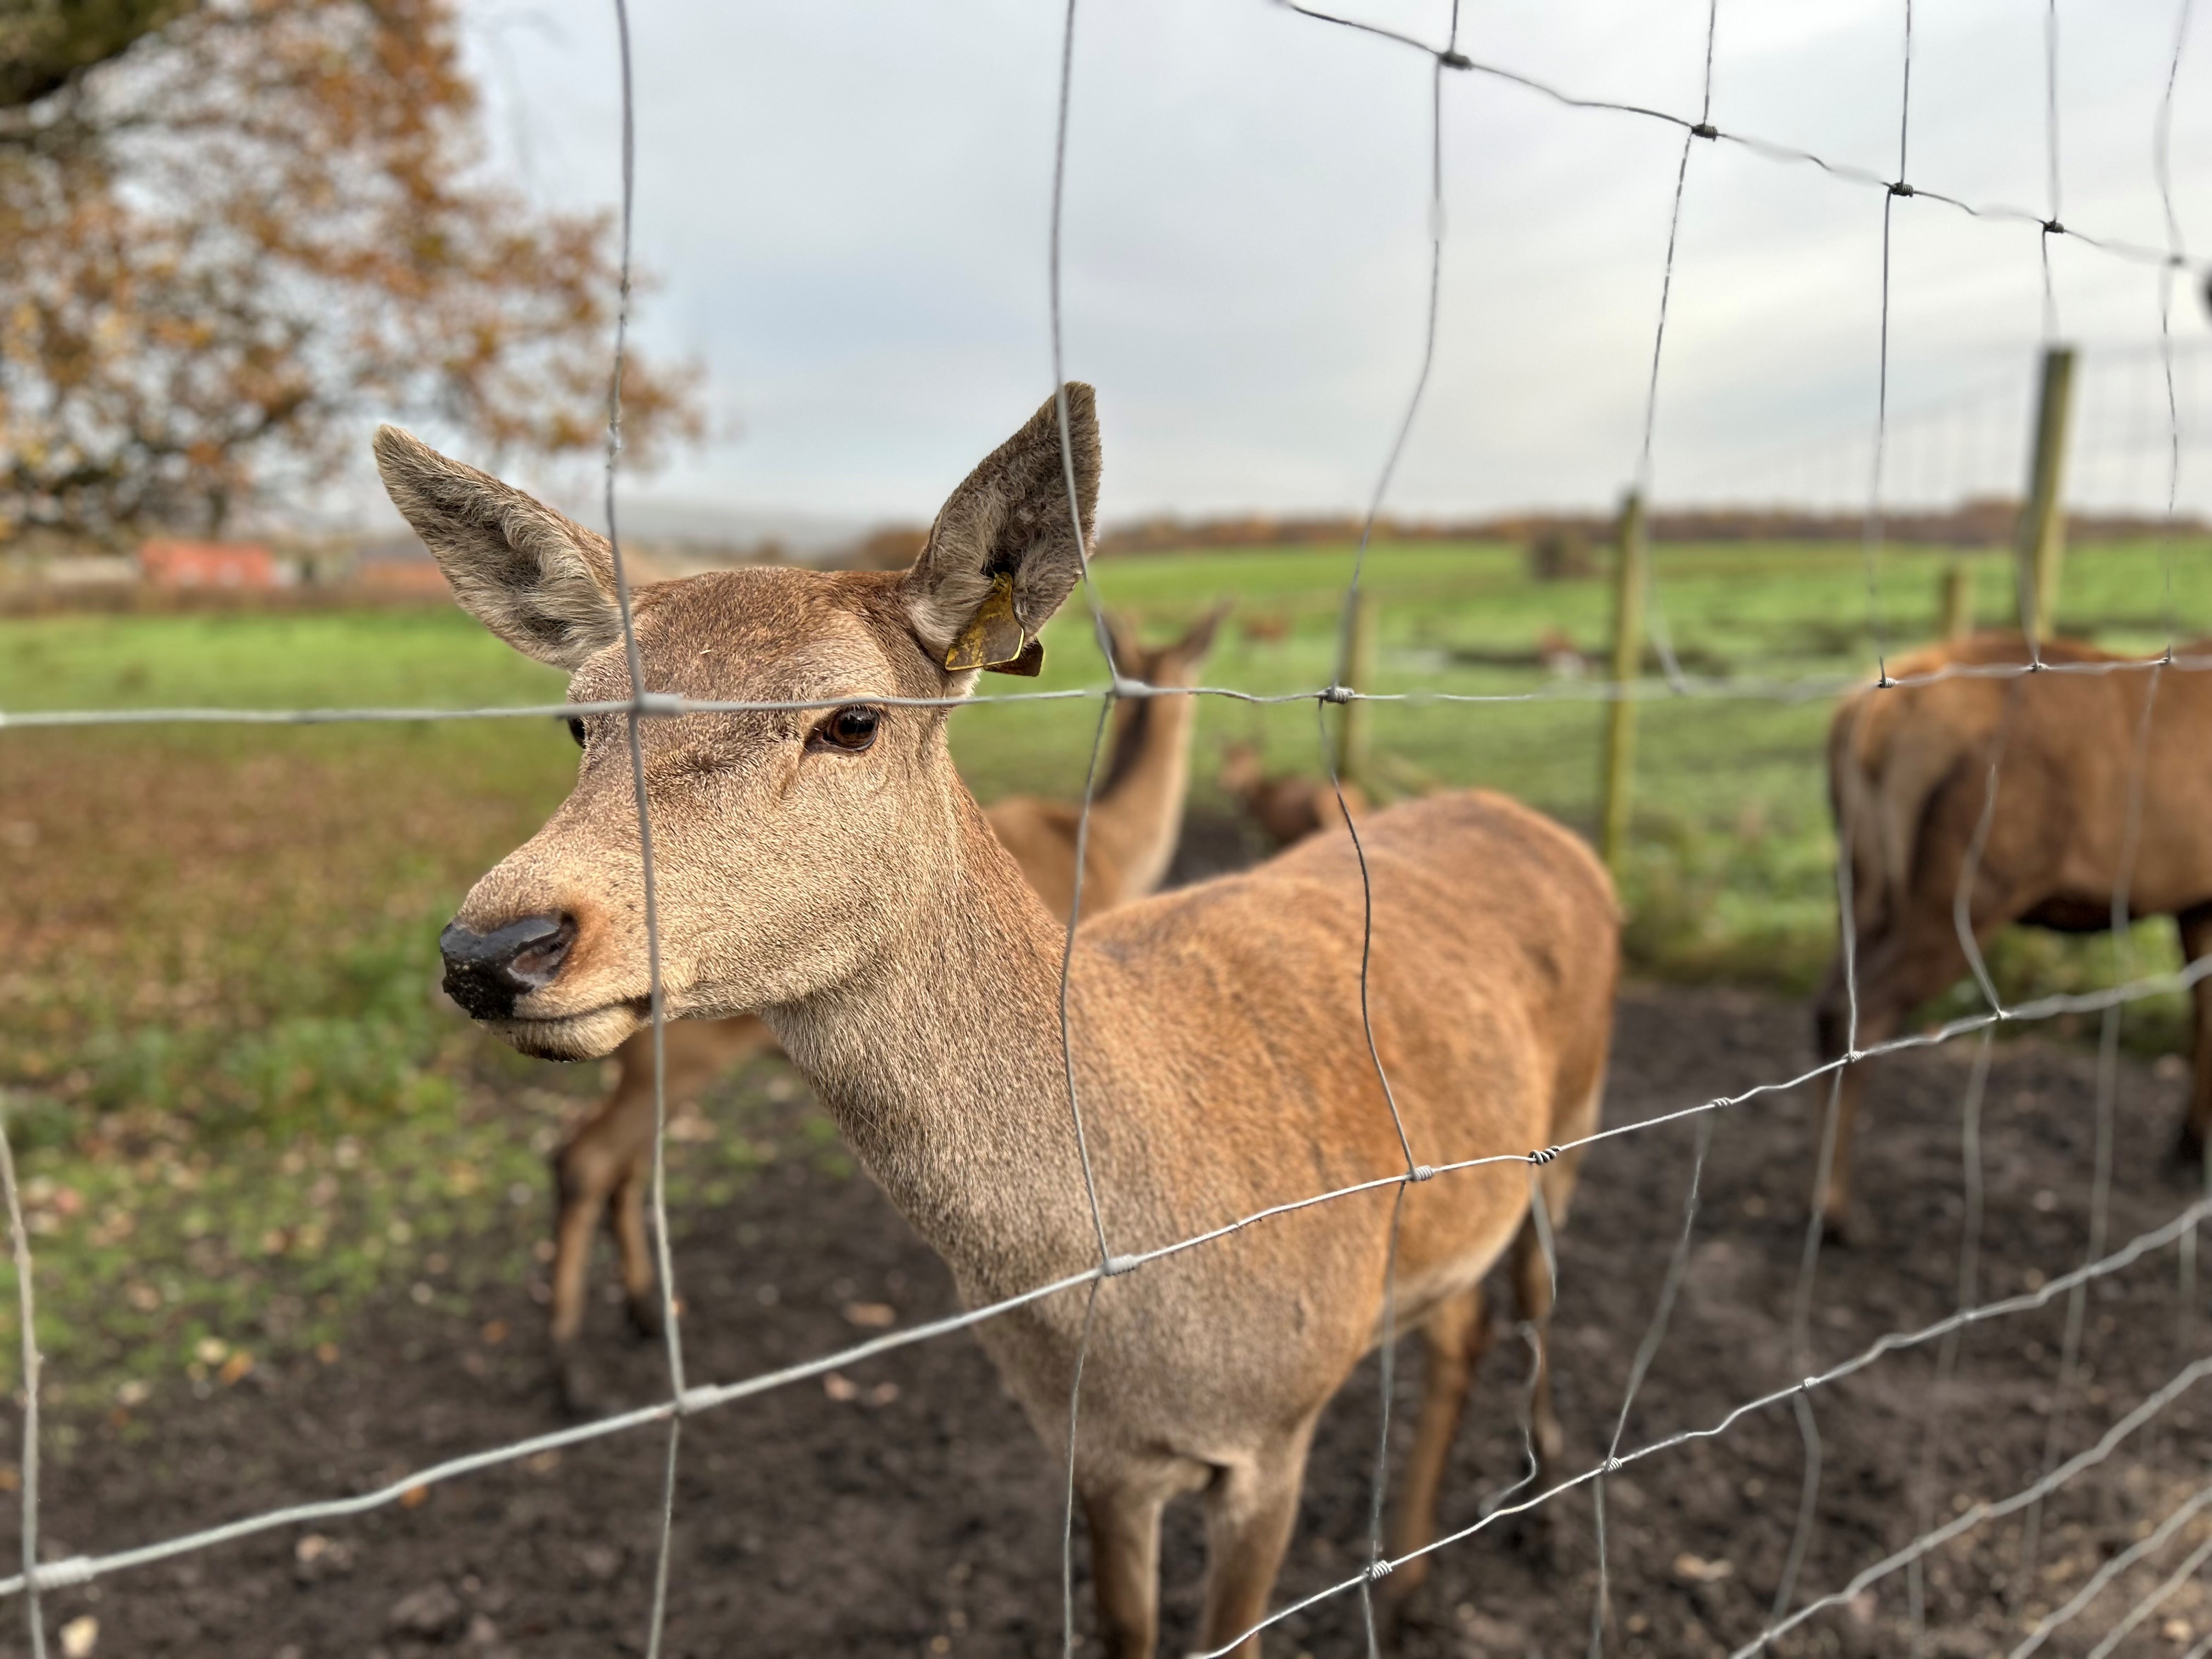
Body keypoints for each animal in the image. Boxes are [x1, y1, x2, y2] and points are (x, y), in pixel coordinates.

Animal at [539, 606, 1229, 1407]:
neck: (1113, 852)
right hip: (675, 1050)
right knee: (584, 1156)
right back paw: (571, 1370)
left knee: (620, 1160)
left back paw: (647, 1316)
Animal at [1814, 637, 2212, 1248]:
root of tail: (1870, 721)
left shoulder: (2195, 902)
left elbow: (2200, 1018)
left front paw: (2190, 1144)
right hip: (1967, 888)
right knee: (1859, 1016)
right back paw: (1836, 1211)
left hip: (1862, 885)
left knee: (1829, 1003)